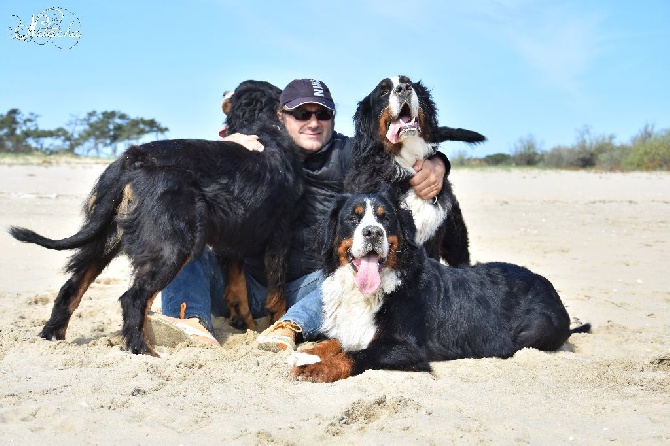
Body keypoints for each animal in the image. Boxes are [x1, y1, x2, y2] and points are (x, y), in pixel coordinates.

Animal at [9, 80, 304, 356]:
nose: (223, 93)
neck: (262, 127)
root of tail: (132, 159)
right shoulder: (280, 232)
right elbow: (276, 295)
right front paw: (272, 325)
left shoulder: (234, 238)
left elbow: (237, 290)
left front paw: (247, 325)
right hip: (173, 245)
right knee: (133, 299)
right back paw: (142, 349)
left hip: (105, 238)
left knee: (71, 288)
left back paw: (53, 335)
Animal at [292, 190, 592, 382]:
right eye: (352, 218)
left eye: (385, 218)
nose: (373, 232)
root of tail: (552, 291)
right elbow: (334, 342)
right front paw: (308, 353)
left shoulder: (405, 349)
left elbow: (354, 355)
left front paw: (316, 369)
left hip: (533, 332)